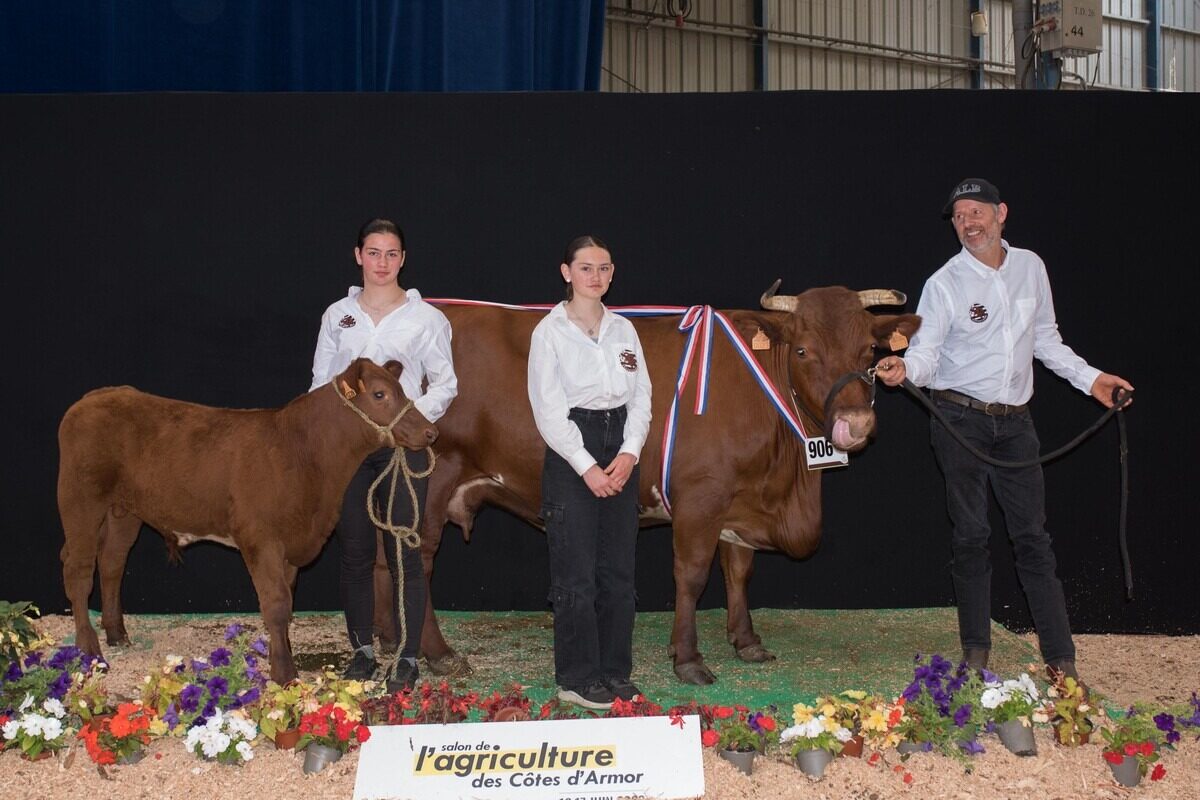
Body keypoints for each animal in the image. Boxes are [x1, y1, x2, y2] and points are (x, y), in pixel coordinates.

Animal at [58, 359, 439, 686]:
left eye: (402, 389)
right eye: (379, 394)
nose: (430, 432)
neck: (304, 453)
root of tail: (99, 395)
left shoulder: (291, 542)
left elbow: (285, 603)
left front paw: (279, 658)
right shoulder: (261, 538)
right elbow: (276, 605)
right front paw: (284, 674)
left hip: (124, 512)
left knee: (112, 563)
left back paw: (116, 633)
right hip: (80, 502)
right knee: (78, 572)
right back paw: (89, 650)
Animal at [408, 284, 921, 686]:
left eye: (869, 352)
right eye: (802, 350)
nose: (856, 424)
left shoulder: (738, 501)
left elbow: (739, 572)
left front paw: (746, 640)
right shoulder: (701, 496)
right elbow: (691, 575)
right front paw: (689, 658)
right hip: (434, 476)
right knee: (418, 560)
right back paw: (438, 654)